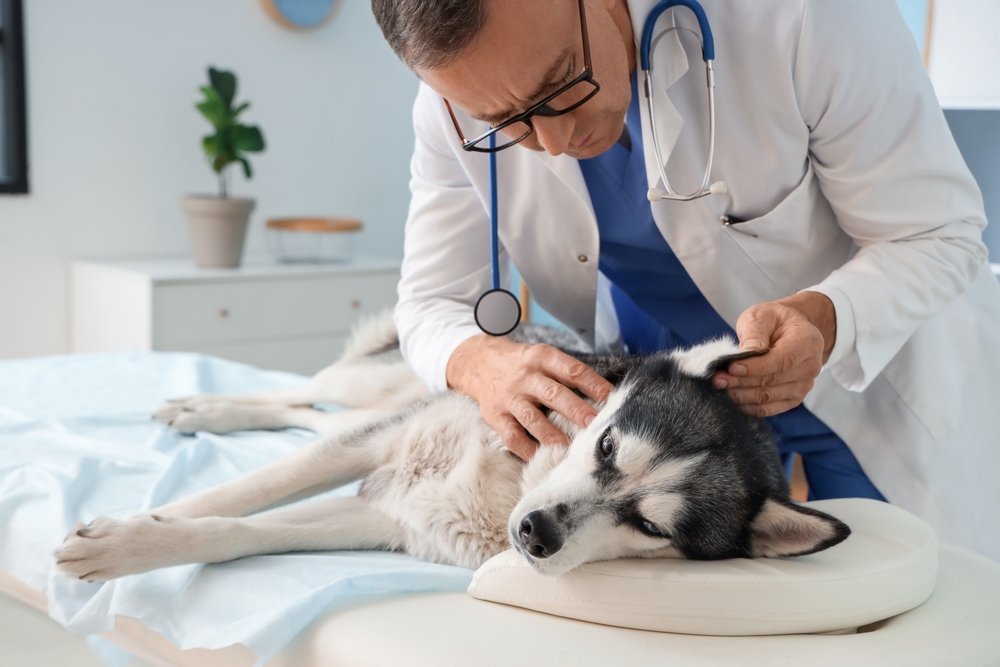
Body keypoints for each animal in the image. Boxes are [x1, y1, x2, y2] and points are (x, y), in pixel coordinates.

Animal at [54, 314, 848, 580]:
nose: (535, 533)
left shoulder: (387, 517)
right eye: (607, 446)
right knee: (307, 397)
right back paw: (202, 406)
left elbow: (240, 532)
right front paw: (131, 531)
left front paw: (141, 538)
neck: (511, 479)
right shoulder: (377, 452)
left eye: (651, 527)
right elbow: (240, 495)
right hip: (373, 390)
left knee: (307, 414)